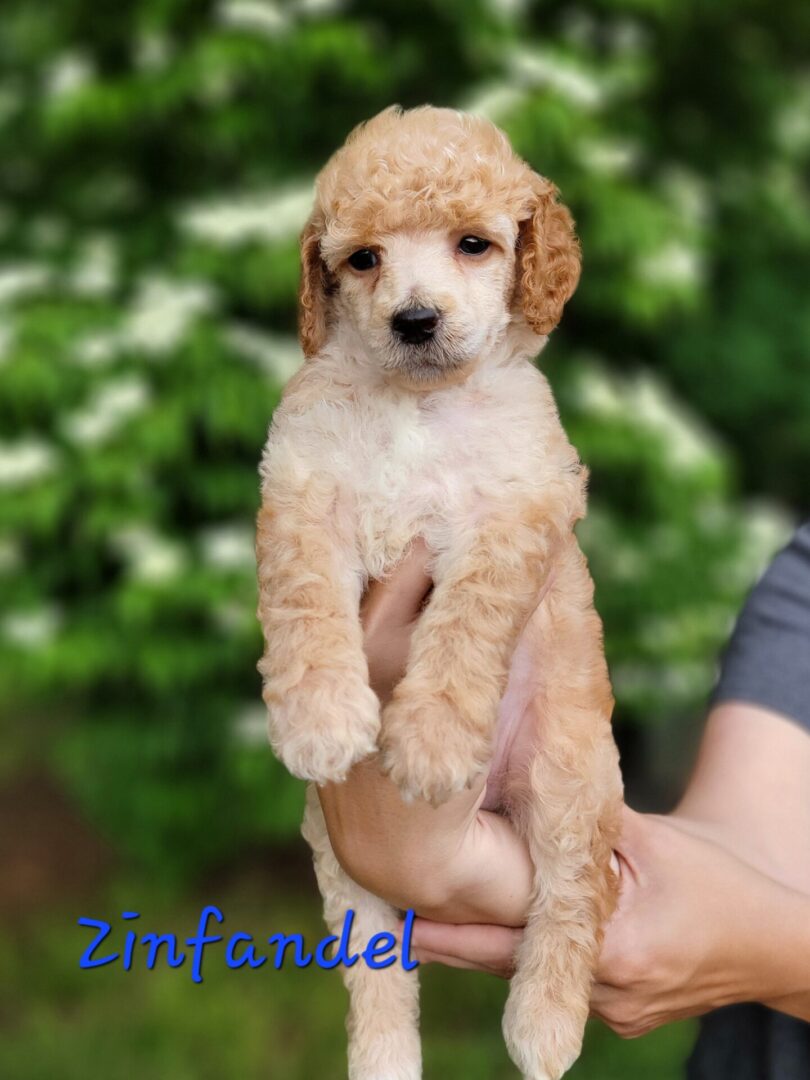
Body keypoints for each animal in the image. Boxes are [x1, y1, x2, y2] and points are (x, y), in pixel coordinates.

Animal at [257, 103, 626, 1080]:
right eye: (363, 259)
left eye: (473, 244)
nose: (416, 320)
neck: (417, 403)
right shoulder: (303, 488)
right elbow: (303, 603)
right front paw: (319, 716)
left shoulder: (516, 510)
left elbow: (466, 625)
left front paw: (429, 740)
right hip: (340, 855)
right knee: (373, 959)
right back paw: (384, 1058)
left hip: (572, 775)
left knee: (574, 899)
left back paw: (544, 1028)